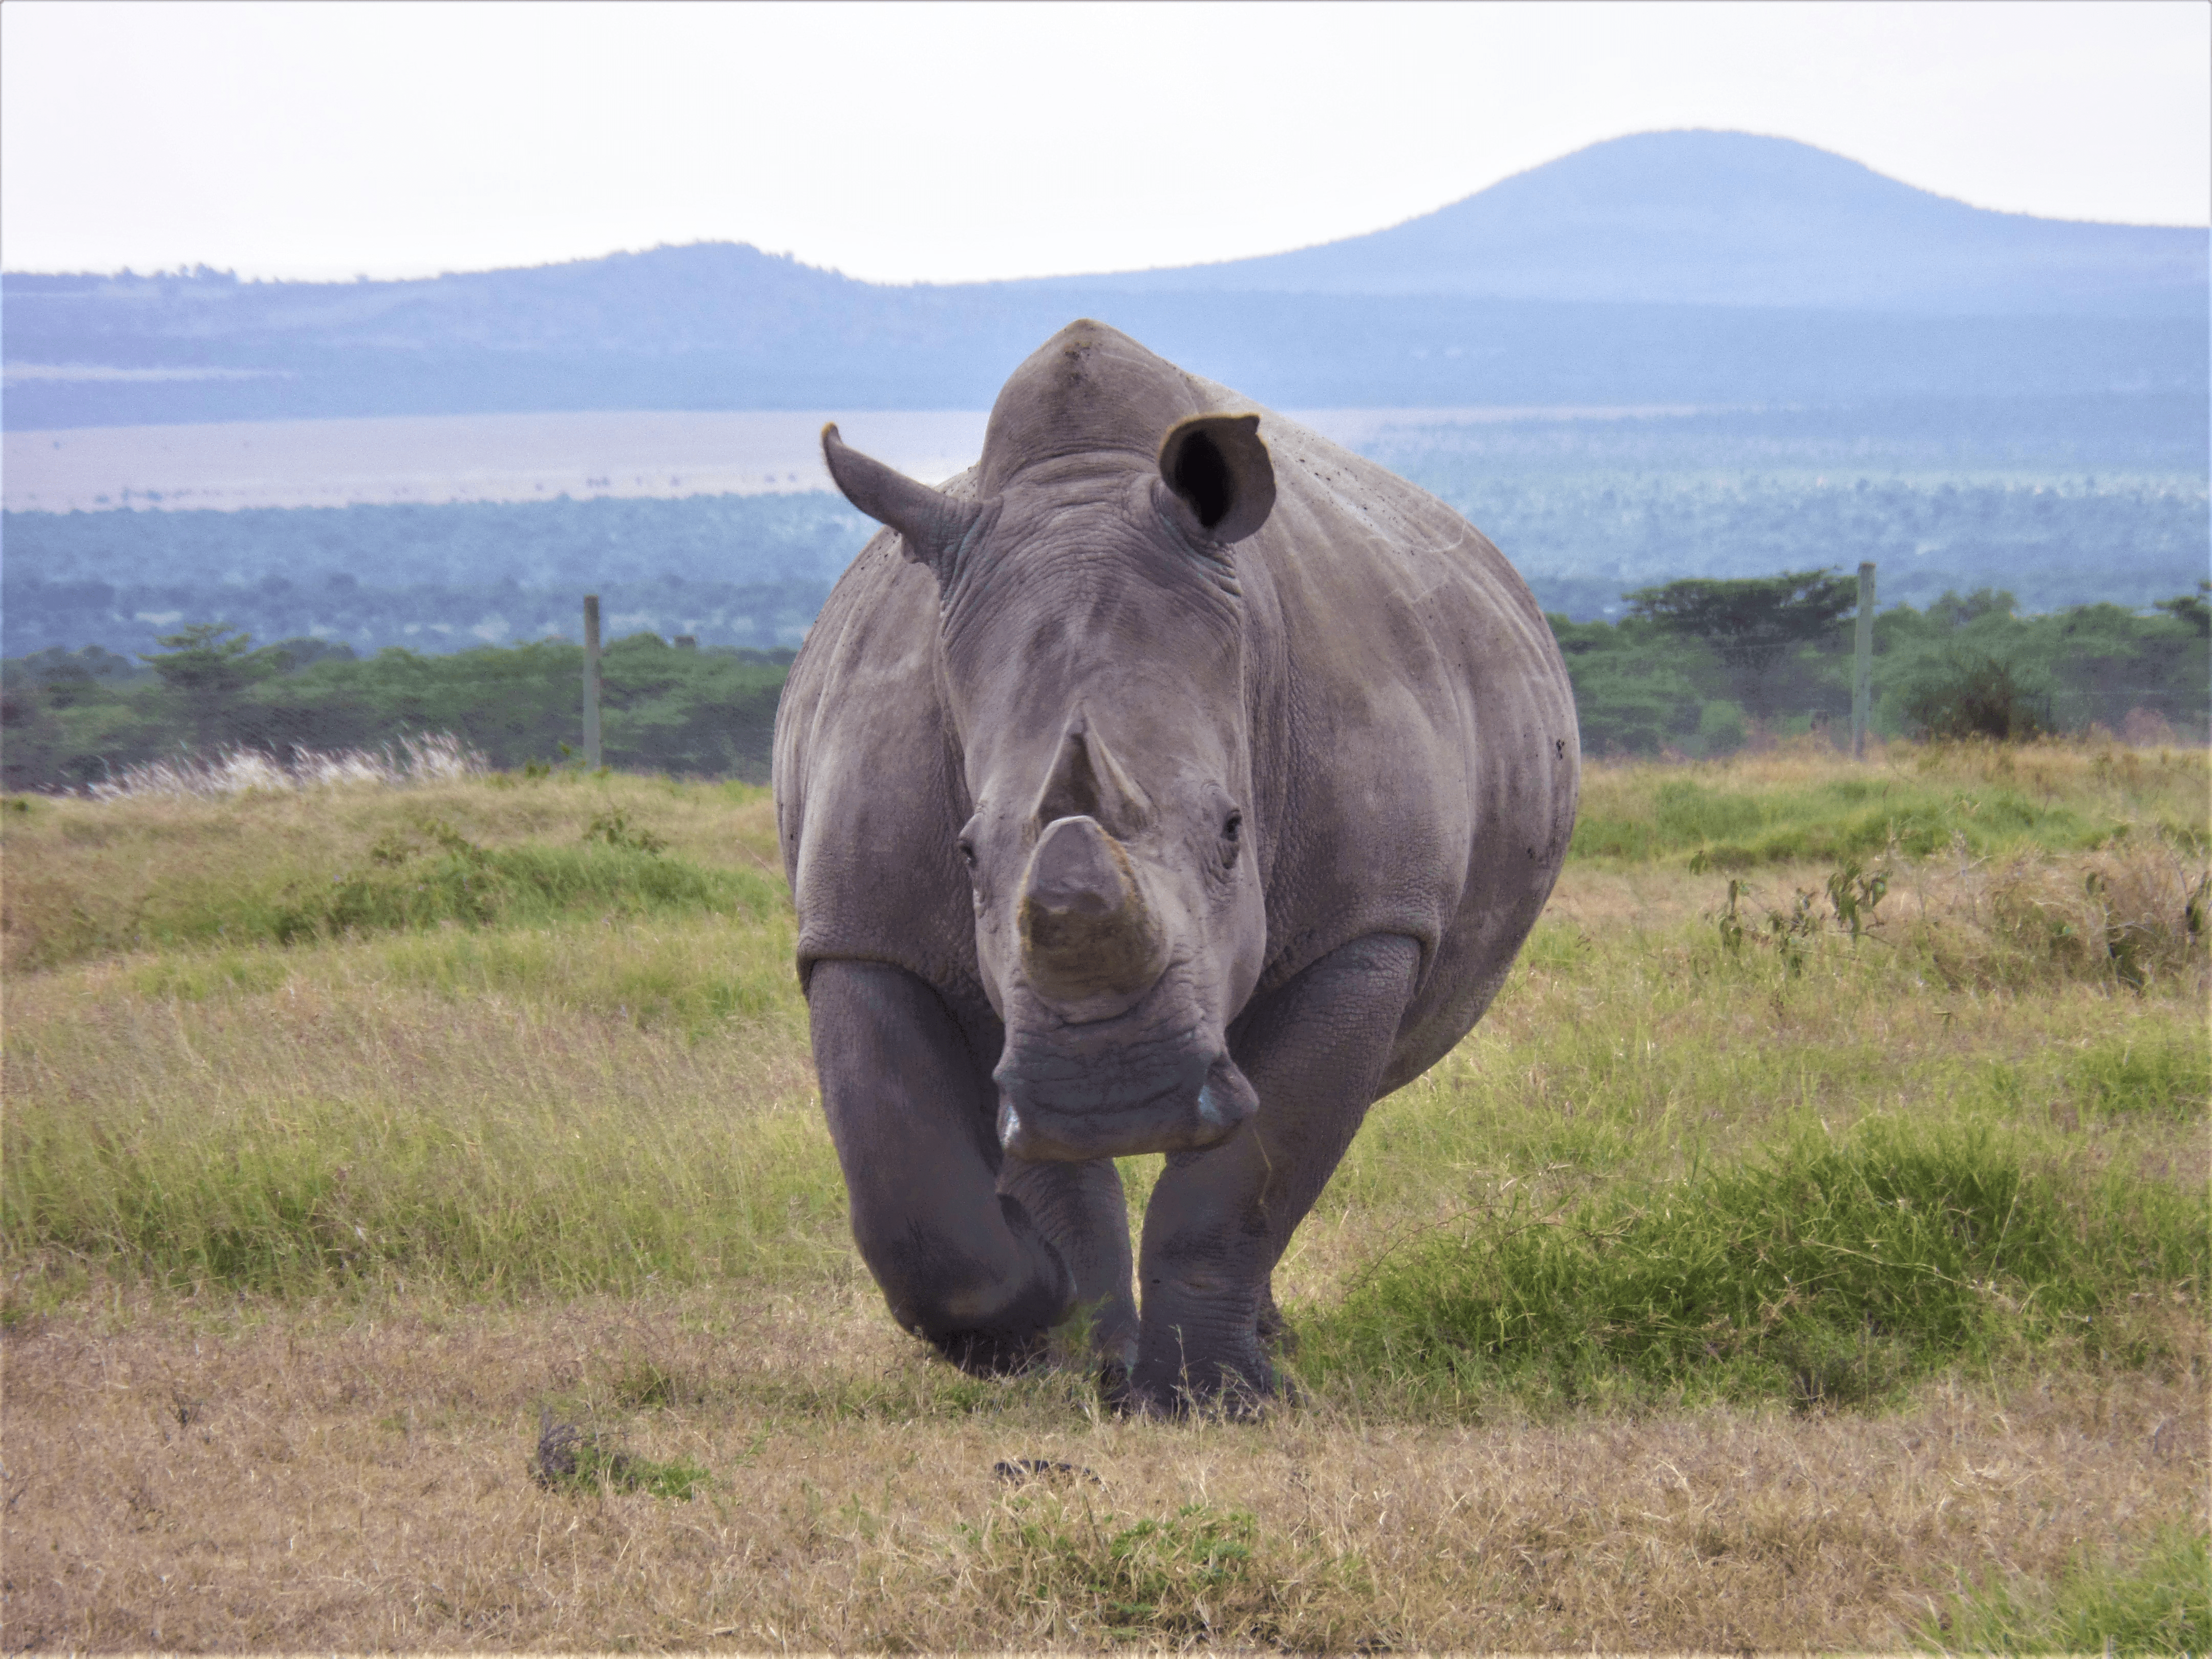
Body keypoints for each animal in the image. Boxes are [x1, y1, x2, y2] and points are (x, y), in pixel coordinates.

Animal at [773, 320, 1578, 1411]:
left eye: (1235, 831)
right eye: (968, 852)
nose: (1114, 1095)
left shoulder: (1370, 925)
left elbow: (1250, 1174)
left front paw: (1218, 1400)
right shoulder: (863, 928)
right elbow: (929, 1208)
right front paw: (1058, 1336)